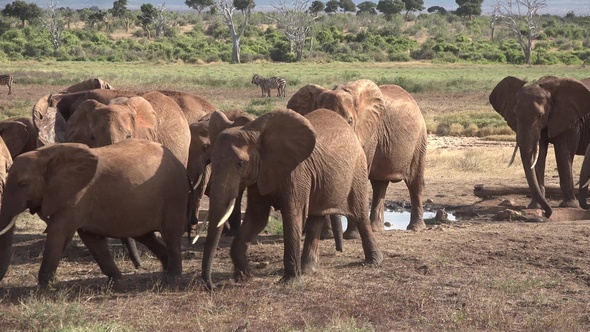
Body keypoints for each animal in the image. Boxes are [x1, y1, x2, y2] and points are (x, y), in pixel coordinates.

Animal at [0, 138, 190, 288]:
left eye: (22, 184)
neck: (45, 156)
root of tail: (174, 156)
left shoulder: (77, 196)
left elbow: (58, 232)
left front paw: (42, 288)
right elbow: (91, 239)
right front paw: (118, 281)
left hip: (174, 194)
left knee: (171, 234)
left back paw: (172, 278)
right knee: (145, 235)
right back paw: (165, 268)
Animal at [201, 109, 386, 288]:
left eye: (240, 164)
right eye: (211, 161)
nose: (212, 286)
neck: (256, 133)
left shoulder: (296, 174)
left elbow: (292, 216)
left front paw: (289, 282)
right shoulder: (261, 175)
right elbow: (257, 218)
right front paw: (245, 277)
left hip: (358, 170)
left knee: (359, 215)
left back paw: (373, 262)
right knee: (315, 219)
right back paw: (307, 269)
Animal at [288, 79, 430, 233]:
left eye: (350, 121)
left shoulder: (369, 134)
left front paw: (352, 235)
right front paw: (326, 234)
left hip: (419, 140)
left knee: (414, 182)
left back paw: (415, 228)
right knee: (379, 185)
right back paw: (375, 228)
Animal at [488, 76, 590, 219]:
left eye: (540, 116)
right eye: (515, 114)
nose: (547, 214)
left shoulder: (570, 120)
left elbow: (563, 153)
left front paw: (568, 206)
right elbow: (538, 154)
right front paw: (534, 206)